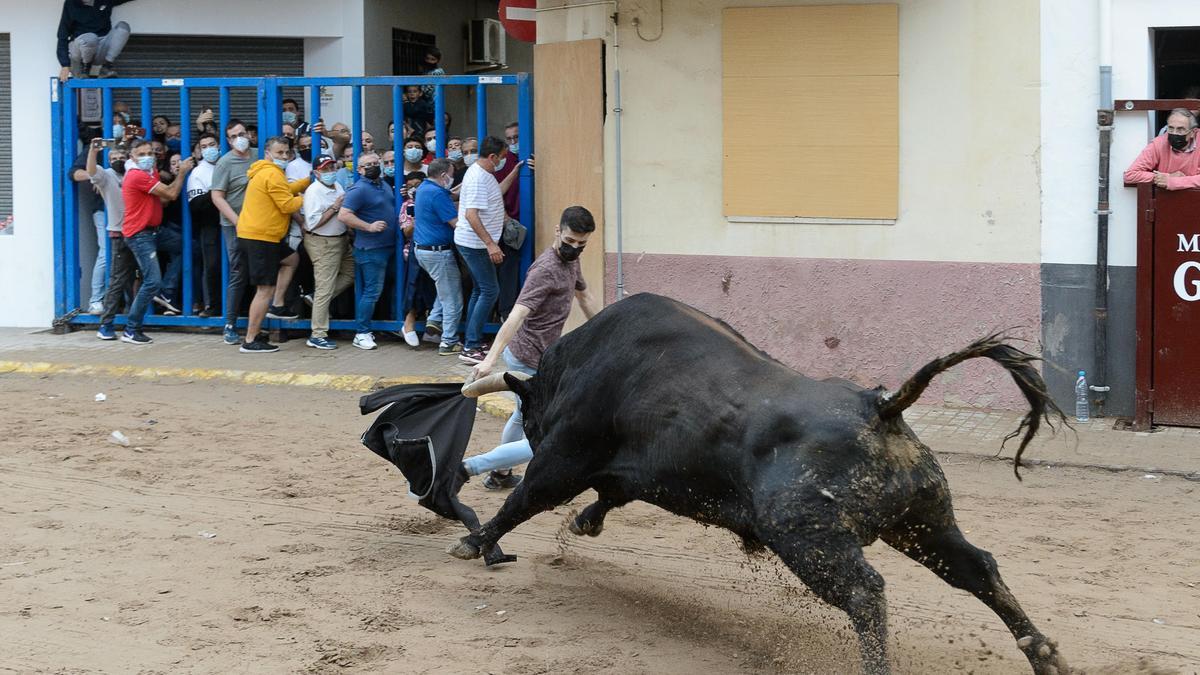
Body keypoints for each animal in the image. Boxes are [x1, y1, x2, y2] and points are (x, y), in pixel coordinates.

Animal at [451, 290, 1070, 672]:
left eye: (532, 418)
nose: (530, 430)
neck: (576, 365)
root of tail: (880, 407)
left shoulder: (564, 456)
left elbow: (528, 499)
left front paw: (475, 542)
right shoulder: (623, 472)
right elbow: (606, 497)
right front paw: (583, 524)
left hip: (805, 537)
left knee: (865, 593)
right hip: (922, 523)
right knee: (978, 568)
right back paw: (1044, 655)